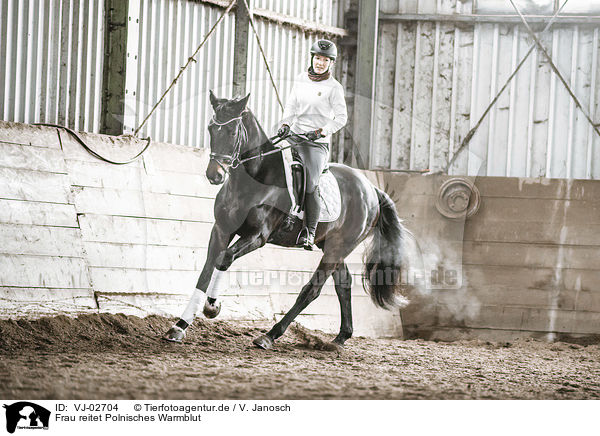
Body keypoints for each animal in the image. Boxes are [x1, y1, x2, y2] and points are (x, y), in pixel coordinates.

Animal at [164, 93, 418, 350]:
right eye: (211, 128)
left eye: (233, 132)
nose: (214, 175)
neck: (254, 179)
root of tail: (371, 188)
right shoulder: (221, 230)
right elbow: (206, 271)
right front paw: (179, 326)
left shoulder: (258, 236)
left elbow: (224, 259)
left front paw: (212, 307)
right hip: (331, 244)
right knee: (343, 284)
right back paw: (339, 339)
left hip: (339, 247)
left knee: (312, 289)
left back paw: (270, 335)